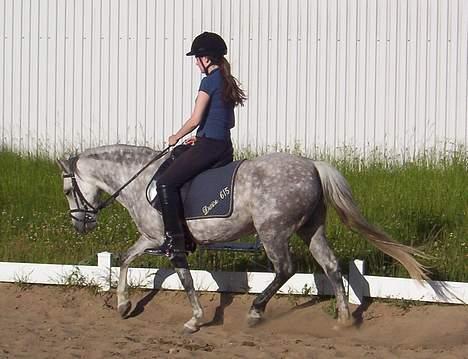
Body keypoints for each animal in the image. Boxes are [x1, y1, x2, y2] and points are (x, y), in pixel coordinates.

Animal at [56, 145, 426, 334]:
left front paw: (195, 319)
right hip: (311, 229)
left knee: (285, 269)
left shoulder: (169, 242)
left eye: (67, 191)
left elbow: (185, 278)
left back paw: (255, 312)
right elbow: (124, 258)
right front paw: (123, 306)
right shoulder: (151, 237)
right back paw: (344, 320)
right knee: (331, 266)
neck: (140, 179)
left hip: (273, 231)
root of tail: (311, 166)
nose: (80, 224)